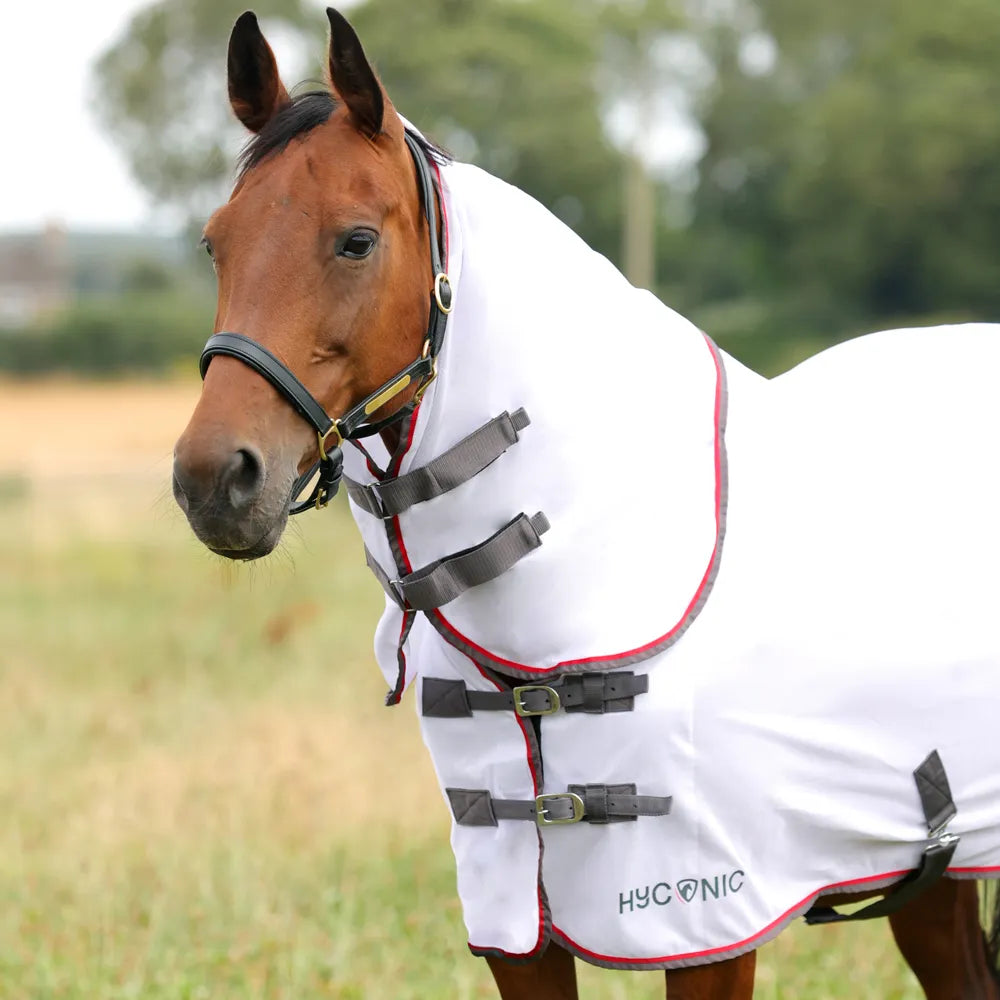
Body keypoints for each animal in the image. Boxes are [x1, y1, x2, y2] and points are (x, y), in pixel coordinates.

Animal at [172, 8, 1000, 998]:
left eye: (356, 240)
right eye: (216, 241)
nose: (215, 481)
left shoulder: (707, 918)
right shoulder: (516, 924)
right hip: (934, 876)